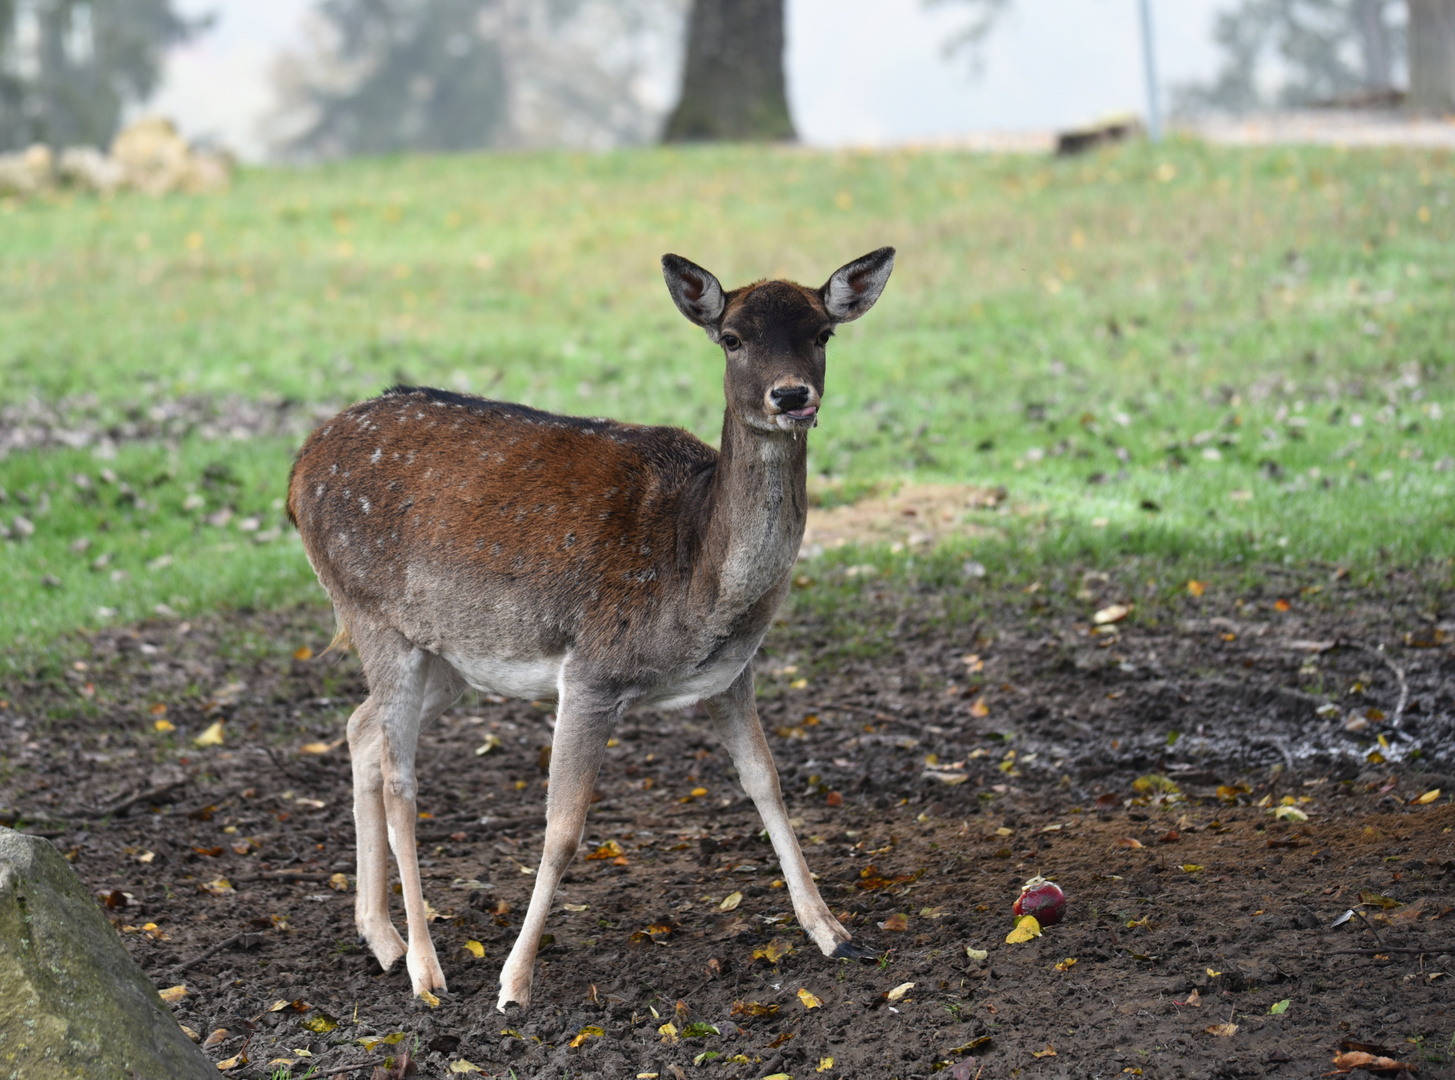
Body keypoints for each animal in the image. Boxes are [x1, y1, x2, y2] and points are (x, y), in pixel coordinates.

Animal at [285, 247, 890, 1013]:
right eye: (731, 338)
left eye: (822, 333)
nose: (790, 396)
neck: (699, 575)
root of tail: (294, 470)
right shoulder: (593, 672)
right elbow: (563, 831)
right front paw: (514, 984)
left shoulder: (731, 672)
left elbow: (767, 783)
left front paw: (833, 931)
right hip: (371, 613)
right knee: (400, 779)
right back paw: (426, 970)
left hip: (447, 654)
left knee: (359, 727)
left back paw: (383, 939)